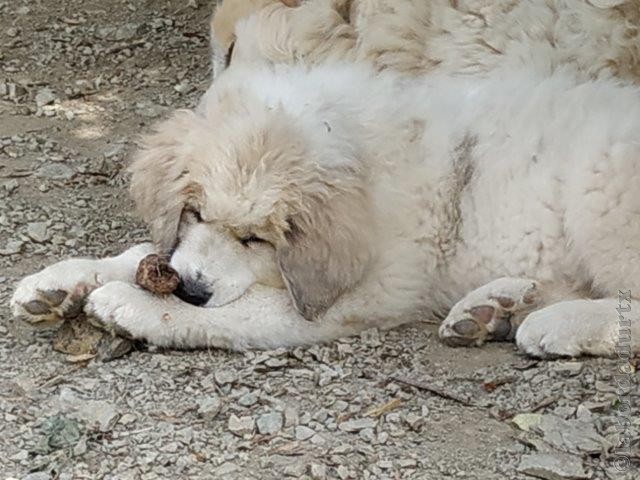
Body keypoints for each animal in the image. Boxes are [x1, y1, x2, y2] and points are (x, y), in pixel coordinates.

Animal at [8, 62, 640, 356]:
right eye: (195, 214)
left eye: (257, 239)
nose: (190, 287)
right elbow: (145, 250)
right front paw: (58, 283)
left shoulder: (356, 296)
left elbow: (240, 314)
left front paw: (131, 305)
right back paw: (492, 308)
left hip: (602, 192)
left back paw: (556, 323)